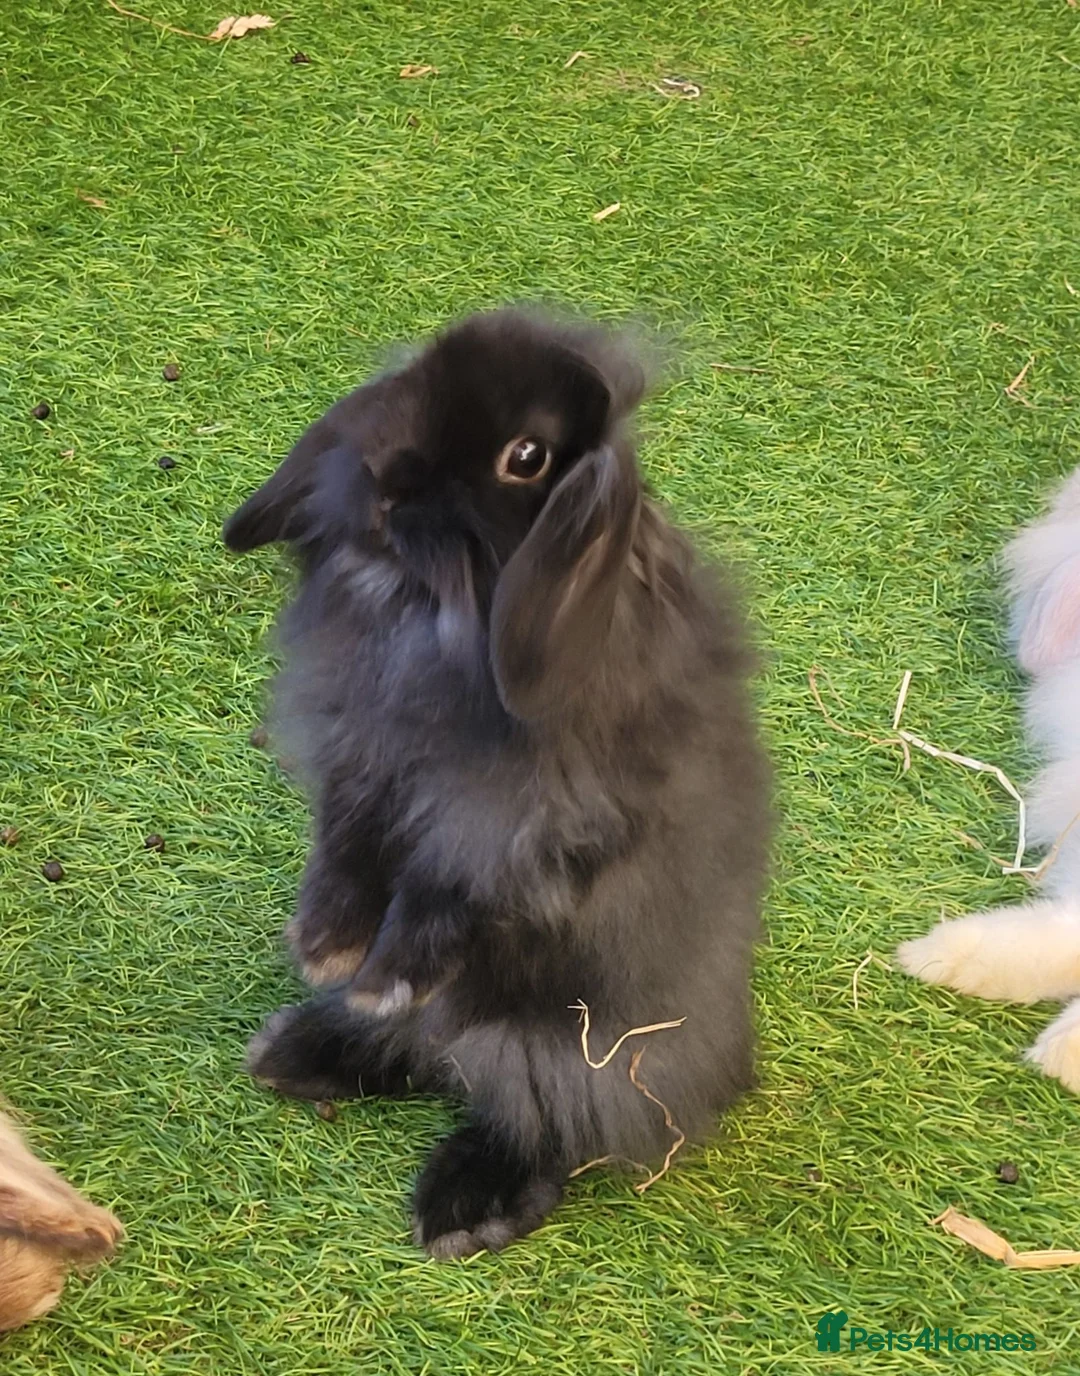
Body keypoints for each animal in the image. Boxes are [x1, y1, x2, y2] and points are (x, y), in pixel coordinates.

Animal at [225, 308, 772, 1258]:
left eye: (526, 457)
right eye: (418, 380)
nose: (387, 487)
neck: (431, 609)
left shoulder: (517, 828)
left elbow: (447, 893)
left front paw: (383, 973)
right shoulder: (361, 770)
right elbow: (345, 852)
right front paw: (325, 946)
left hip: (573, 1048)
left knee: (543, 1117)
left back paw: (468, 1201)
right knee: (423, 1054)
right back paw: (304, 1051)